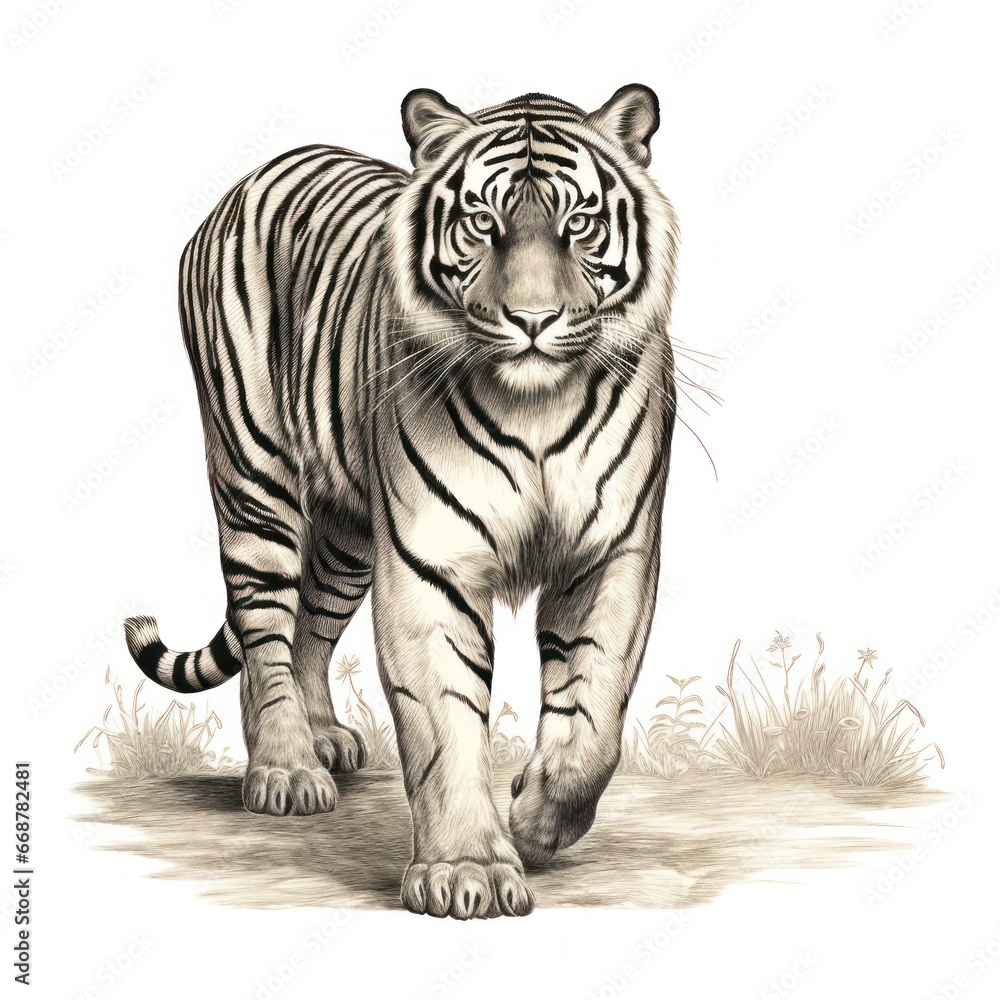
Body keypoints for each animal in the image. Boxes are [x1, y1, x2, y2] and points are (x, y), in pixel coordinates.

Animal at [123, 84, 679, 919]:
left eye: (578, 225)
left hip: (350, 535)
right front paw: (467, 871)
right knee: (263, 623)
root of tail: (251, 178)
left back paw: (319, 739)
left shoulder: (612, 551)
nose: (533, 320)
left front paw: (539, 818)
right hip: (255, 480)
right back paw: (285, 768)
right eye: (482, 224)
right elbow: (444, 720)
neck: (536, 406)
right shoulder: (428, 562)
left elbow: (595, 714)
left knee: (306, 631)